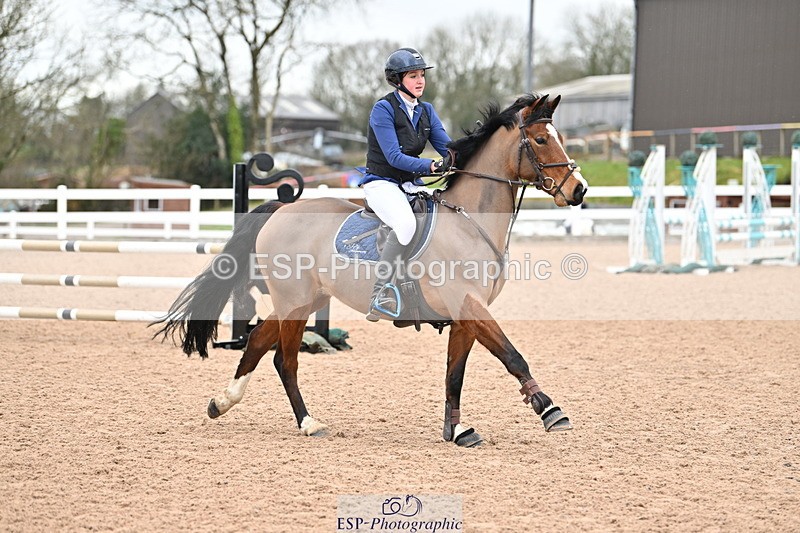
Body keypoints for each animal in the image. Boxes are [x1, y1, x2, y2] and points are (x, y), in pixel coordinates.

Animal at [153, 93, 587, 447]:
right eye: (542, 140)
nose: (579, 190)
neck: (470, 223)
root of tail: (281, 209)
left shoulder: (466, 314)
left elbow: (455, 374)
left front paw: (458, 430)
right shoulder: (468, 304)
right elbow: (512, 356)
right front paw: (549, 409)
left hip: (305, 299)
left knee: (259, 339)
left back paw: (222, 402)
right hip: (294, 301)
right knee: (285, 360)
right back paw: (308, 423)